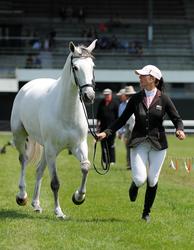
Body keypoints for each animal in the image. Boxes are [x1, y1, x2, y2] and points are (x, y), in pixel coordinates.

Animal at [10, 39, 97, 219]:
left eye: (92, 66)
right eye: (75, 67)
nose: (89, 96)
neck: (66, 111)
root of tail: (27, 86)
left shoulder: (79, 145)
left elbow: (85, 167)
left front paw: (78, 197)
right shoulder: (52, 149)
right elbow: (55, 182)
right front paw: (59, 212)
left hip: (46, 148)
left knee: (39, 170)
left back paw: (36, 204)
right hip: (21, 137)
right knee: (23, 160)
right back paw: (22, 196)